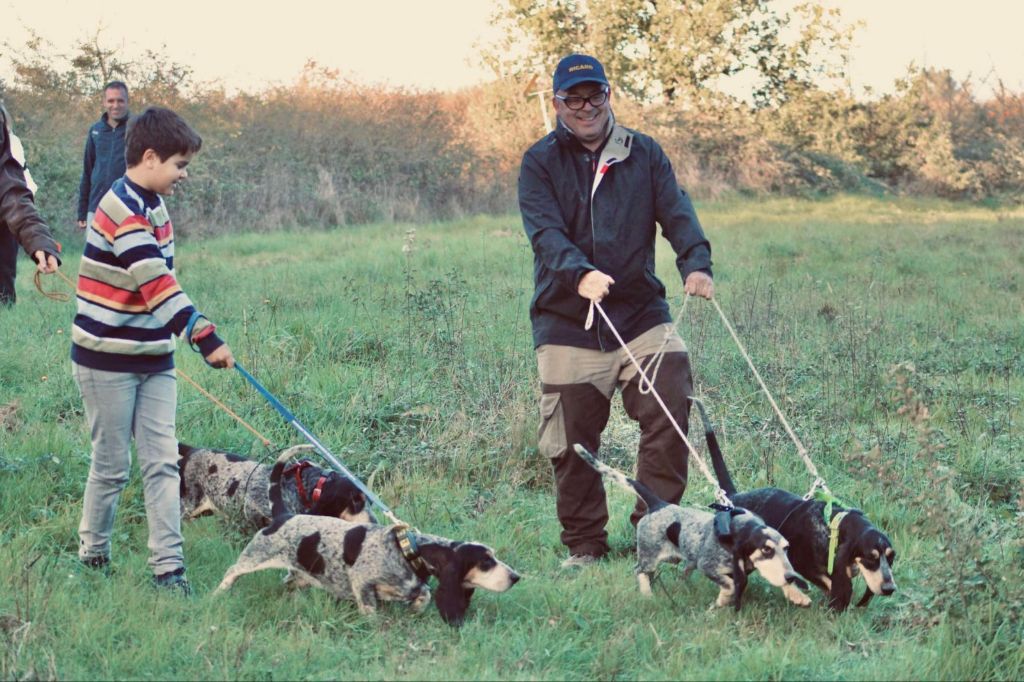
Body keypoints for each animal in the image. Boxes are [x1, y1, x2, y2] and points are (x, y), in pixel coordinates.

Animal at [215, 448, 520, 622]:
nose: (516, 576)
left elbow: (423, 595)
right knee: (232, 571)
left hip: (300, 572)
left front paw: (414, 611)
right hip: (254, 556)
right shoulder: (362, 582)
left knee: (288, 581)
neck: (410, 550)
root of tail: (284, 515)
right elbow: (370, 608)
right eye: (486, 562)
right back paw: (218, 593)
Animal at [577, 444, 806, 606]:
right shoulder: (708, 566)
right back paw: (647, 594)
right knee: (639, 570)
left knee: (680, 571)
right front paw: (722, 601)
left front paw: (797, 595)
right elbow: (730, 585)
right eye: (766, 550)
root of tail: (658, 503)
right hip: (650, 557)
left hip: (681, 559)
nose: (791, 575)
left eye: (786, 548)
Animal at [696, 395, 897, 606]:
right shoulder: (802, 563)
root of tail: (734, 497)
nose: (890, 588)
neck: (833, 528)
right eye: (870, 557)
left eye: (891, 557)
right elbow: (829, 583)